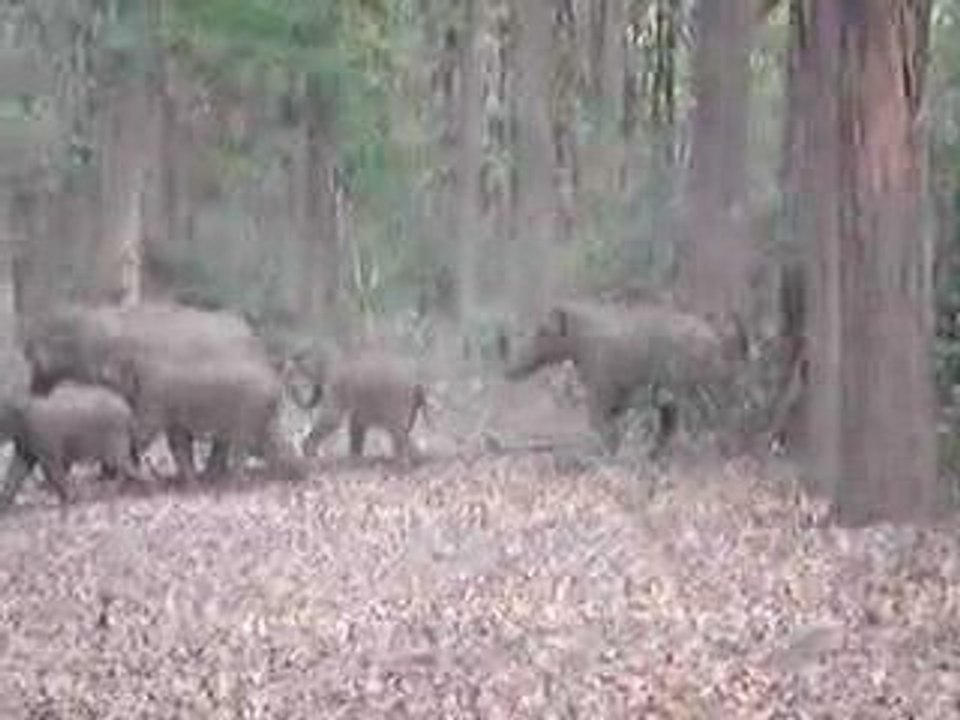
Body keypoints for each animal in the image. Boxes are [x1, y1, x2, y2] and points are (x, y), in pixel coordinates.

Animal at [0, 381, 148, 511]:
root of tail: (129, 412)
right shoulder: (26, 440)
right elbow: (18, 467)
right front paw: (5, 505)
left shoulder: (43, 436)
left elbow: (51, 469)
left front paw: (70, 498)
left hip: (114, 433)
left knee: (122, 462)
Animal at [287, 348, 428, 465]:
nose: (292, 387)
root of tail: (417, 383)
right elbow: (356, 425)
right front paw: (355, 458)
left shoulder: (337, 387)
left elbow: (333, 420)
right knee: (401, 432)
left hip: (397, 401)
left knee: (397, 432)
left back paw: (403, 462)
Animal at [503, 300, 739, 457]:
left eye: (542, 331)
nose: (509, 370)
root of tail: (714, 338)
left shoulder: (602, 384)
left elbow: (600, 421)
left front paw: (607, 452)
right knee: (674, 421)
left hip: (687, 382)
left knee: (703, 414)